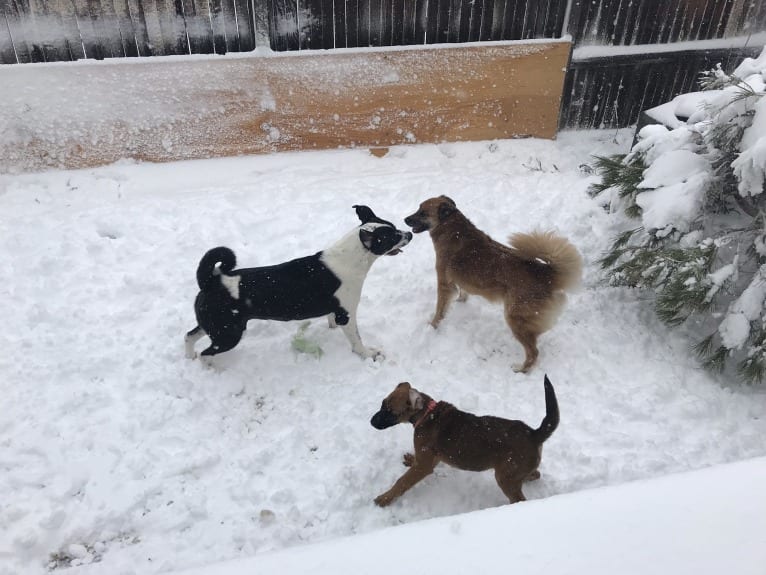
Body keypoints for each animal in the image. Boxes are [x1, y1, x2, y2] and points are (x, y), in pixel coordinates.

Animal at [187, 206, 414, 360]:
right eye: (392, 237)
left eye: (395, 228)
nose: (409, 233)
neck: (350, 260)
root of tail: (210, 281)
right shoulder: (346, 315)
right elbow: (357, 340)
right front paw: (367, 354)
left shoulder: (335, 312)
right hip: (228, 334)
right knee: (206, 354)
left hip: (214, 326)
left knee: (189, 337)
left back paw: (189, 355)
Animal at [372, 378, 560, 508]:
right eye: (382, 403)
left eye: (391, 412)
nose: (371, 422)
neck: (426, 413)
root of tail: (534, 434)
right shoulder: (429, 460)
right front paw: (410, 459)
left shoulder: (423, 466)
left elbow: (402, 482)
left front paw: (385, 498)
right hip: (512, 472)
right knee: (535, 474)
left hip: (505, 477)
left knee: (520, 498)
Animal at [408, 197, 584, 374]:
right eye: (418, 208)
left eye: (423, 213)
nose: (405, 219)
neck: (451, 227)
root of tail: (546, 273)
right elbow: (463, 292)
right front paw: (461, 301)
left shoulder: (444, 283)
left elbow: (440, 310)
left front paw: (432, 326)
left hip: (515, 318)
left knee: (533, 352)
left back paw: (521, 370)